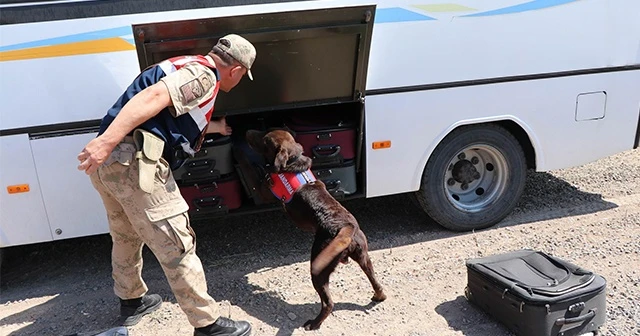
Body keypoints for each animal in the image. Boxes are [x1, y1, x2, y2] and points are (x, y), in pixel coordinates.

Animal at [244, 129, 384, 330]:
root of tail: (346, 227)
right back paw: (379, 296)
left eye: (264, 141)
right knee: (375, 281)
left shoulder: (263, 191)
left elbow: (253, 173)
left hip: (319, 268)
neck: (293, 161)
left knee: (328, 303)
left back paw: (314, 323)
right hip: (363, 256)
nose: (247, 132)